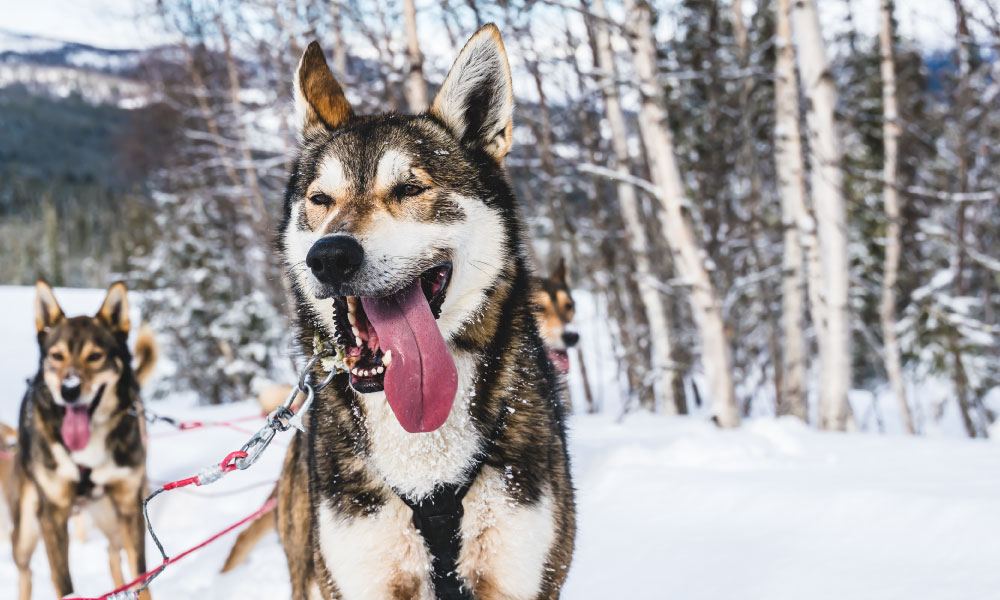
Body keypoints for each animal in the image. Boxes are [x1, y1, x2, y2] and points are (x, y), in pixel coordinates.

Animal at [6, 282, 156, 600]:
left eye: (95, 356)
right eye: (57, 356)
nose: (69, 390)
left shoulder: (129, 506)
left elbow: (141, 578)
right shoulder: (52, 516)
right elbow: (63, 582)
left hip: (111, 518)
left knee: (112, 553)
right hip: (25, 531)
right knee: (25, 572)